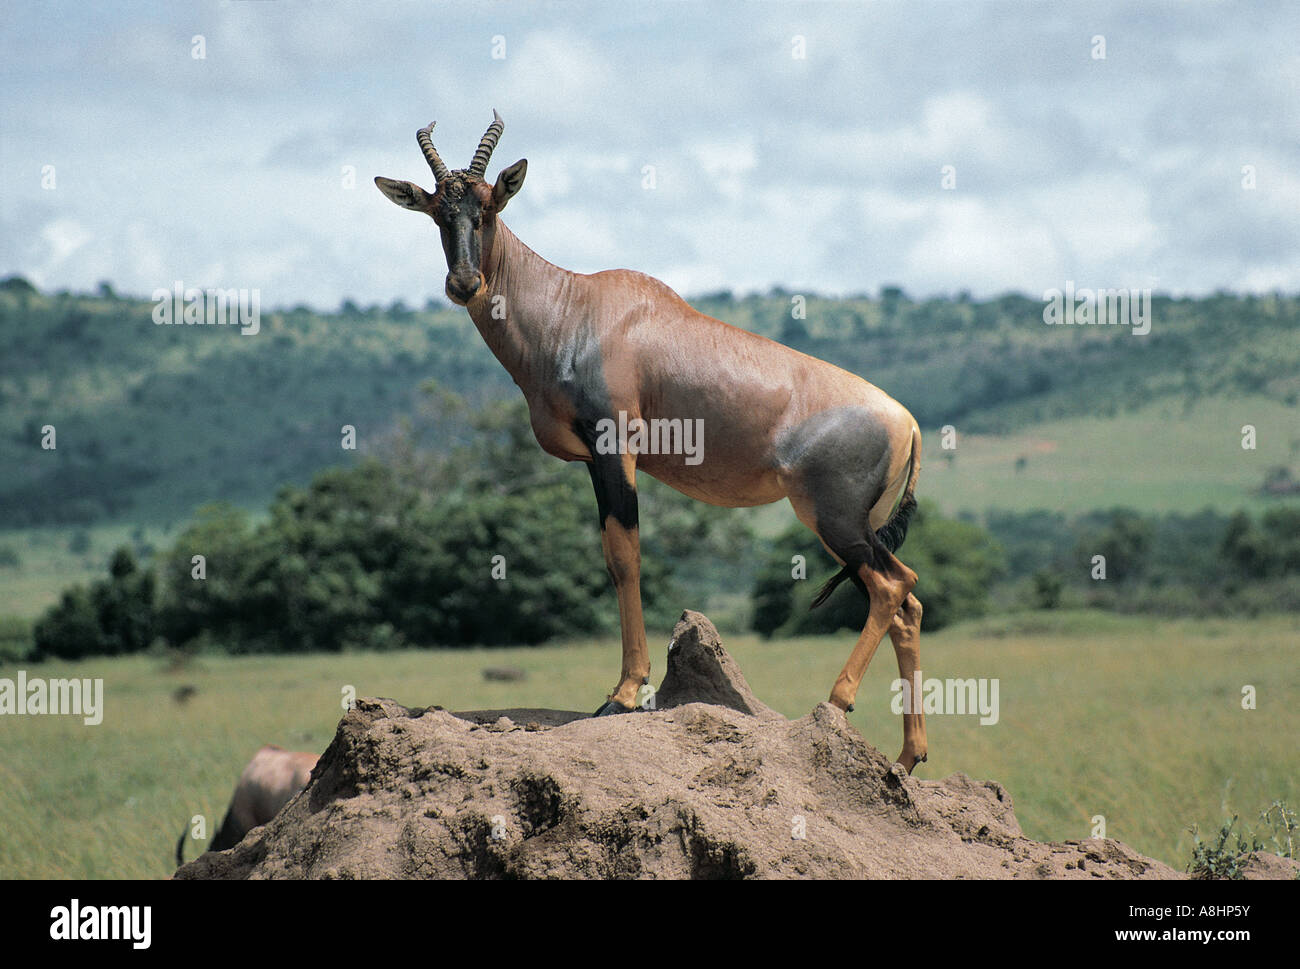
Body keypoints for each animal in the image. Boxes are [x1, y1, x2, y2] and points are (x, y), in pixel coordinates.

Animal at [379, 109, 935, 769]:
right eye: (438, 210)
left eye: (490, 206)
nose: (464, 283)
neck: (577, 307)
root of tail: (907, 420)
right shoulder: (597, 460)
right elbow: (616, 554)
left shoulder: (613, 447)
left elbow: (625, 555)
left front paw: (621, 695)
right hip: (861, 525)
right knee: (907, 603)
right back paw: (908, 756)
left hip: (834, 517)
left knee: (893, 585)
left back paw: (838, 703)